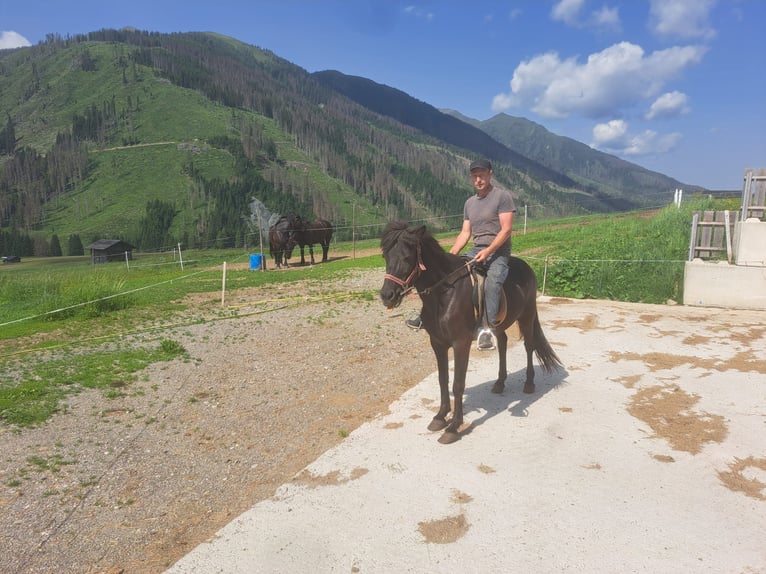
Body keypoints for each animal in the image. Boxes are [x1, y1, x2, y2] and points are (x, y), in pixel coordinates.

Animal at [380, 222, 564, 446]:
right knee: (503, 343)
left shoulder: (461, 343)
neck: (444, 294)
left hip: (527, 316)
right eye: (385, 256)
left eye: (407, 257)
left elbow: (458, 384)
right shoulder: (437, 343)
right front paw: (440, 417)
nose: (387, 295)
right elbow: (443, 380)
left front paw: (453, 427)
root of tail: (527, 267)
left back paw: (529, 384)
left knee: (529, 346)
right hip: (500, 325)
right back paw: (499, 383)